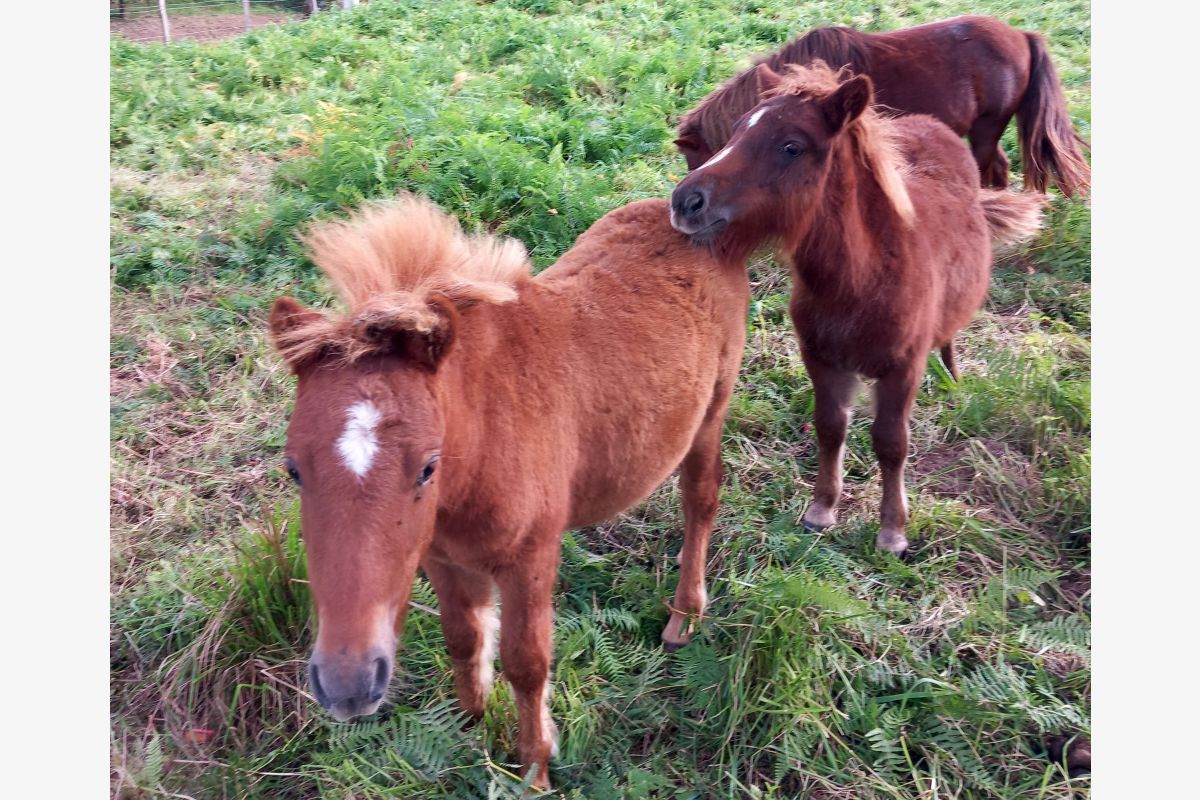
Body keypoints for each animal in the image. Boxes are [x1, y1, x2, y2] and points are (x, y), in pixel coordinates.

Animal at [270, 195, 748, 786]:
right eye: (294, 469)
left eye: (428, 468)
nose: (348, 685)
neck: (483, 440)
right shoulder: (442, 557)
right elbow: (465, 636)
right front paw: (470, 726)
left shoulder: (530, 559)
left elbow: (527, 663)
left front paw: (535, 768)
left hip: (710, 415)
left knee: (700, 500)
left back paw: (684, 615)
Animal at [672, 62, 1046, 556]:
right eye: (735, 132)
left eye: (791, 146)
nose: (685, 201)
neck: (861, 281)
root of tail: (932, 124)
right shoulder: (821, 359)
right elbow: (831, 426)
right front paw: (821, 510)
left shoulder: (902, 369)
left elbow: (891, 443)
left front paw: (892, 533)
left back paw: (952, 377)